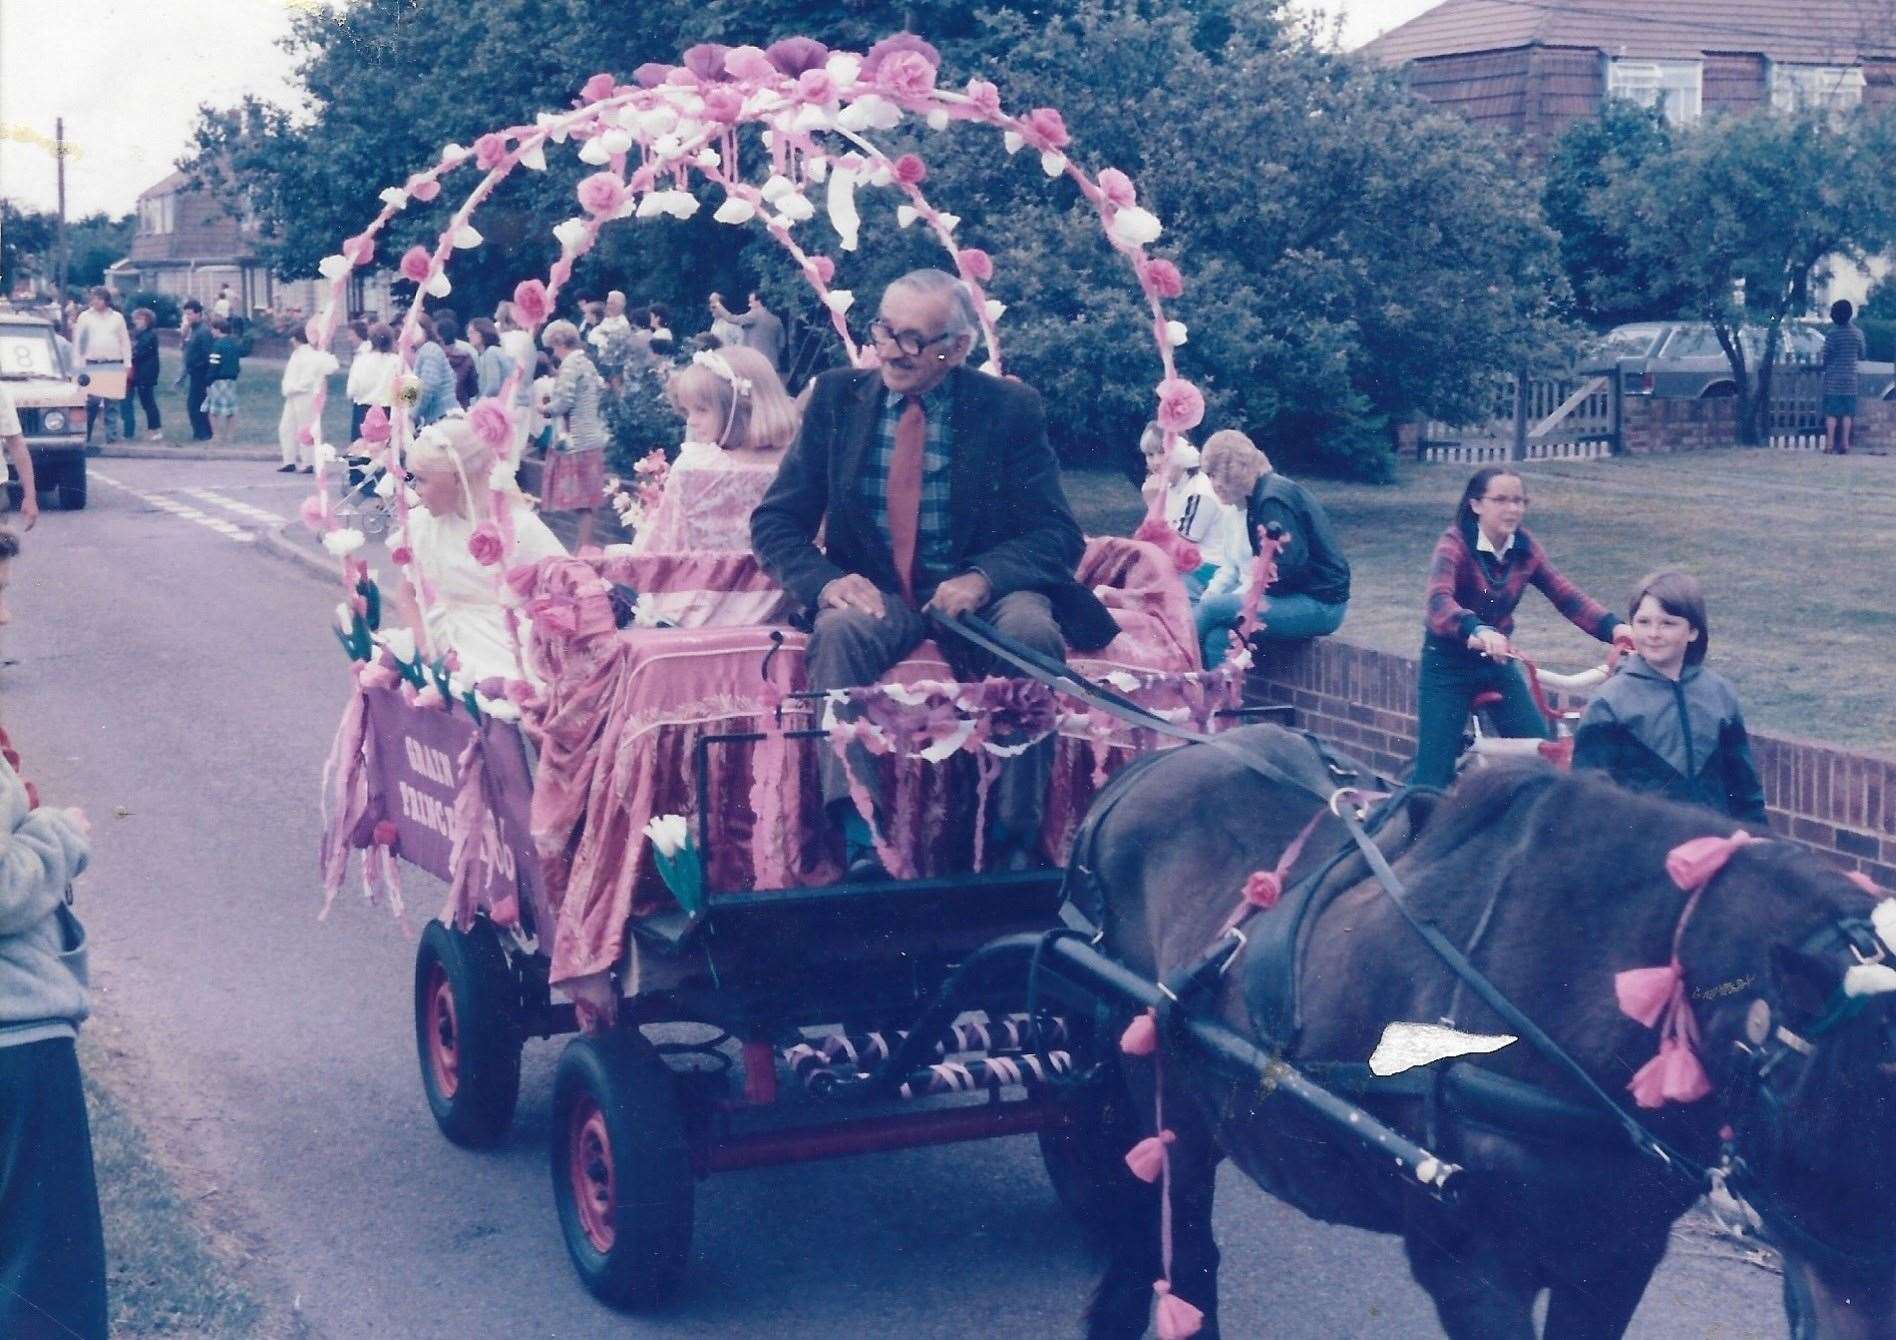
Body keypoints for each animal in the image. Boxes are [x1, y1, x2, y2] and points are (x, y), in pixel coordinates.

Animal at [1069, 727, 1896, 1340]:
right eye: (1853, 1117)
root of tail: (1140, 772)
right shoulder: (1472, 1270)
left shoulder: (1616, 1258)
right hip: (1165, 1099)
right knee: (1188, 1254)